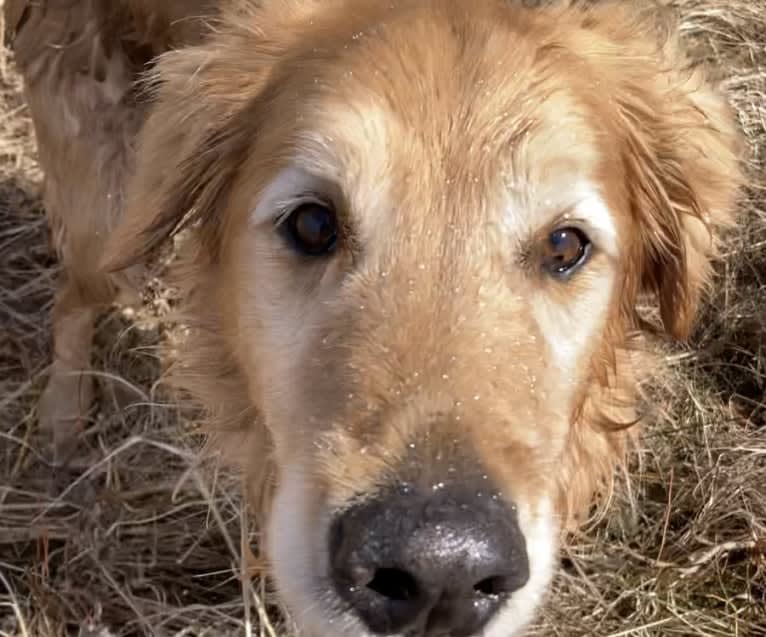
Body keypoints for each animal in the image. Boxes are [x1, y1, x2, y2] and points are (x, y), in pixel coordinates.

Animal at [6, 1, 744, 636]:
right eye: (312, 223)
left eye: (564, 246)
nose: (439, 571)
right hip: (108, 203)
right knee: (74, 298)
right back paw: (64, 419)